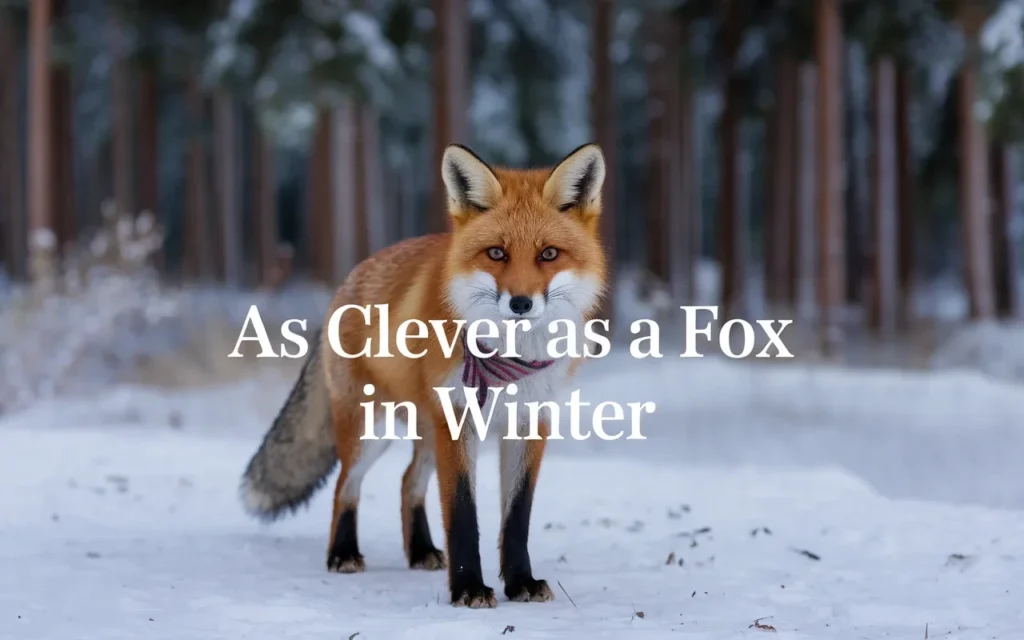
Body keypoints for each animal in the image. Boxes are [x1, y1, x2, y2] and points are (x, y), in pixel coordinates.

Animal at [239, 142, 608, 608]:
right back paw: (343, 553)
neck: (511, 357)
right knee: (346, 485)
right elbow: (462, 513)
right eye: (497, 253)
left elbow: (517, 516)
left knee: (407, 482)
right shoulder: (457, 420)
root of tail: (347, 281)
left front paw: (520, 582)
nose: (521, 303)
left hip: (427, 433)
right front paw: (469, 588)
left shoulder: (531, 421)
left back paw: (419, 551)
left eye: (548, 254)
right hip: (372, 431)